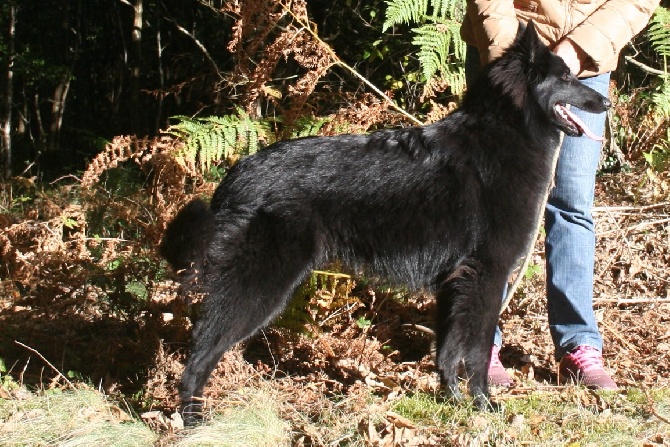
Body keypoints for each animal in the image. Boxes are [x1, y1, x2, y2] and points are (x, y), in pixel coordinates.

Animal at [160, 22, 612, 422]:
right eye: (566, 77)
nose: (606, 104)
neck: (505, 130)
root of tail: (238, 173)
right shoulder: (487, 275)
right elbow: (477, 350)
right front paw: (484, 405)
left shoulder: (455, 282)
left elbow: (448, 349)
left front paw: (453, 402)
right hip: (261, 285)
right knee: (201, 349)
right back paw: (193, 419)